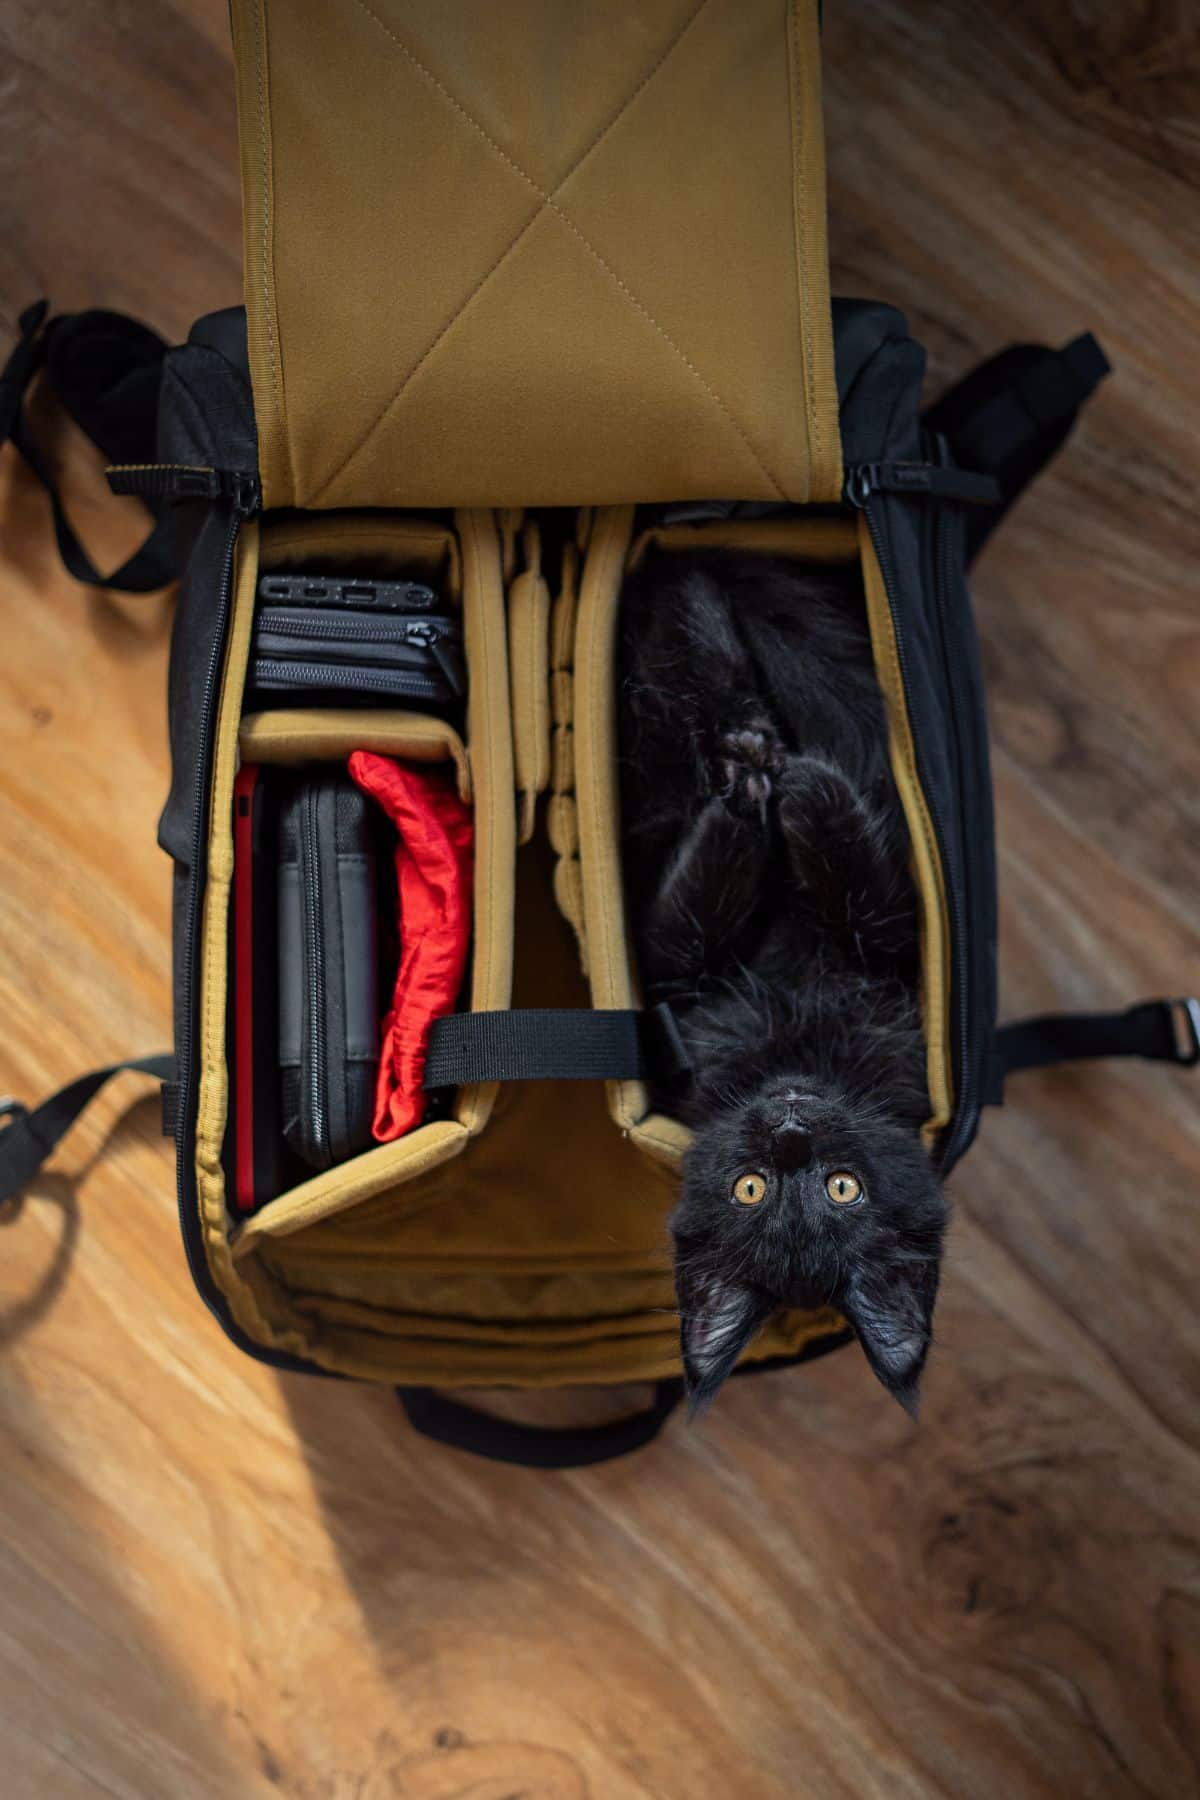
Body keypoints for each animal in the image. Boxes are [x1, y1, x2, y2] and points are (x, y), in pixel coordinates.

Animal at [618, 547, 949, 1418]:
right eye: (750, 1190)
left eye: (842, 1189)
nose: (790, 1131)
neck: (797, 1036)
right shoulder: (678, 977)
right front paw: (763, 781)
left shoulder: (887, 958)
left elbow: (859, 890)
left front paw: (791, 784)